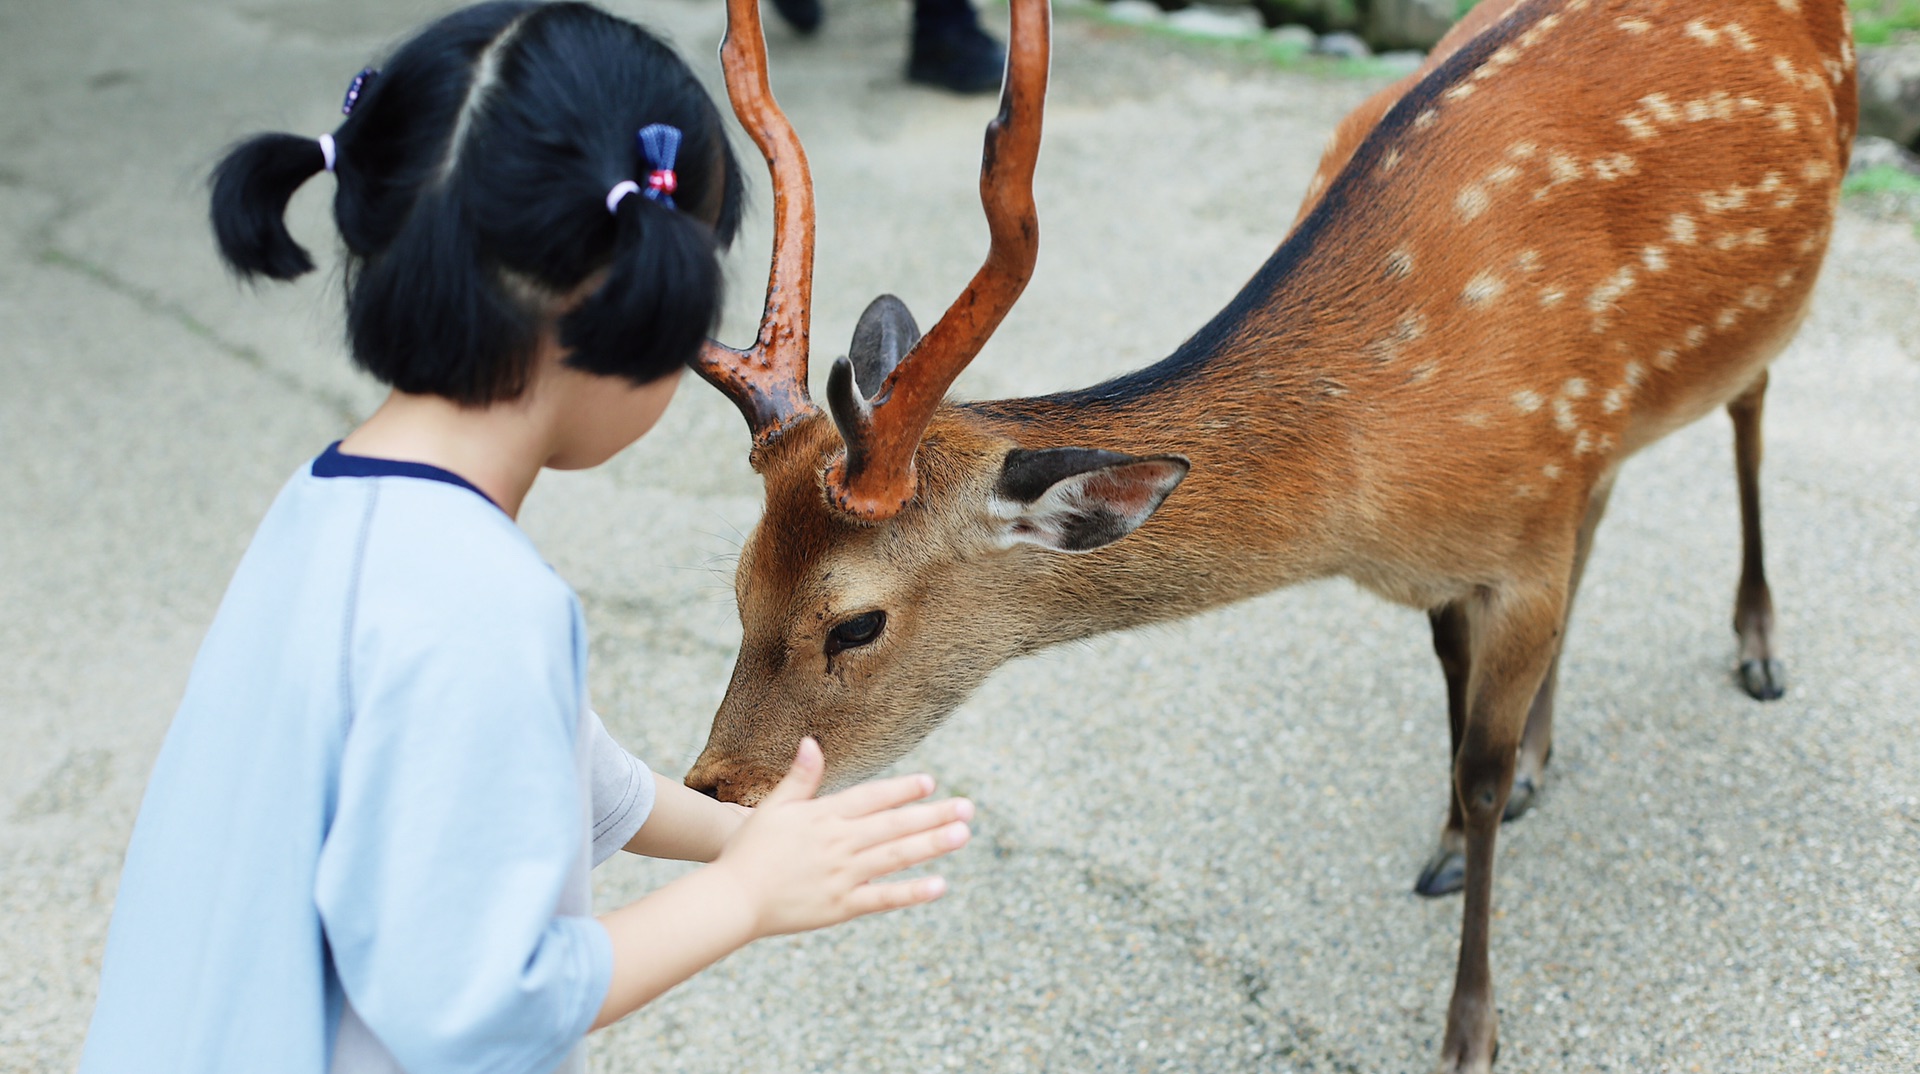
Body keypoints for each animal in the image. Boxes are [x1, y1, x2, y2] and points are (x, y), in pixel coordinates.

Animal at [679, 0, 1858, 1068]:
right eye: (737, 583)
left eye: (856, 624)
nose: (712, 788)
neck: (1375, 494)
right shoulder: (1484, 543)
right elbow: (1457, 714)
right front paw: (1458, 832)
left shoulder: (1521, 549)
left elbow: (1476, 767)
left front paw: (1468, 1028)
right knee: (1608, 506)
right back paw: (1549, 748)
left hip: (1774, 308)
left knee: (1753, 408)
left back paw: (1758, 644)